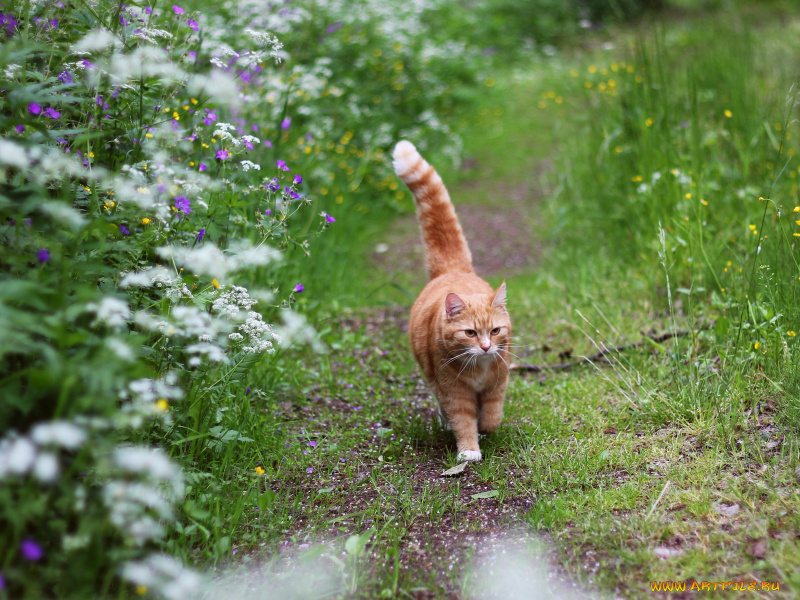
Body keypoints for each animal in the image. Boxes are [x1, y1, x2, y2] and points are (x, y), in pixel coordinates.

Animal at [394, 139, 512, 460]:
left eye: (495, 331)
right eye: (470, 333)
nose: (485, 347)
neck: (479, 368)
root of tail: (452, 269)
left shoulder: (498, 383)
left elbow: (492, 414)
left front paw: (486, 427)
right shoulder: (453, 390)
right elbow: (463, 419)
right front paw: (469, 450)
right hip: (432, 377)